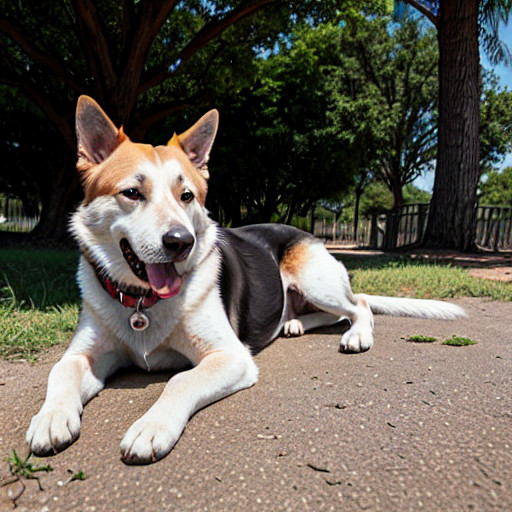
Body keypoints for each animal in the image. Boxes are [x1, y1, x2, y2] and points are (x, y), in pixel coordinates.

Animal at [27, 95, 468, 464]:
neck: (142, 302)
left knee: (356, 306)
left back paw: (356, 335)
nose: (181, 243)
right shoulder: (85, 354)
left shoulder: (231, 356)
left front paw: (152, 426)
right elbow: (61, 370)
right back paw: (294, 323)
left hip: (314, 277)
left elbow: (181, 381)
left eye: (187, 196)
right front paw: (51, 417)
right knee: (325, 313)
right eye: (132, 193)